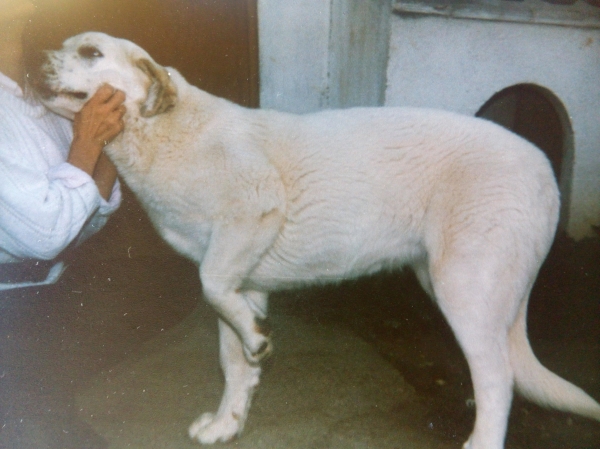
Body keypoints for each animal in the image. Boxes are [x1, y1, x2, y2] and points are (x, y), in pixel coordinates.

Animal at [31, 32, 600, 448]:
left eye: (90, 52)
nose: (31, 60)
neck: (160, 132)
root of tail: (545, 168)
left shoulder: (253, 213)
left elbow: (211, 286)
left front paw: (257, 340)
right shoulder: (246, 281)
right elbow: (233, 361)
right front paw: (229, 419)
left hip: (465, 291)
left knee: (499, 382)